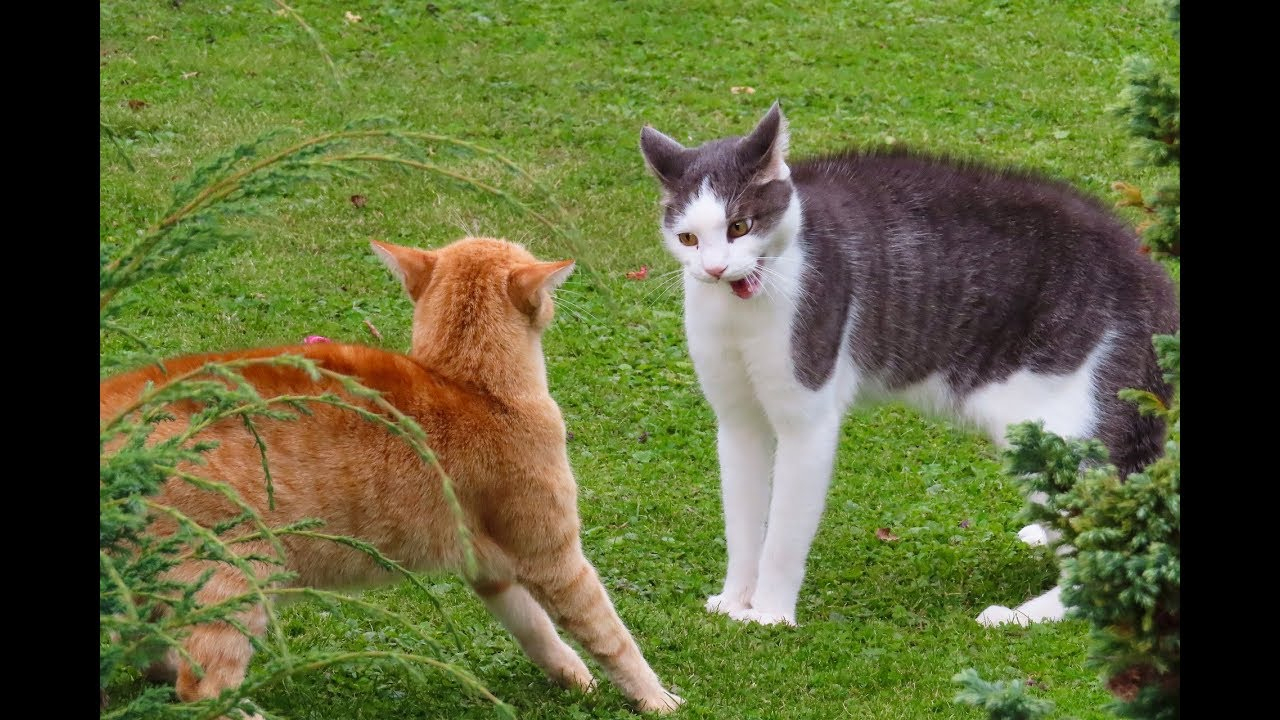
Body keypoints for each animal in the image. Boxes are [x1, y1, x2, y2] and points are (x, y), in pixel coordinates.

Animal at [101, 235, 686, 712]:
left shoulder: (490, 565)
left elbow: (534, 628)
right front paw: (655, 698)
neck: (470, 383)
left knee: (149, 655)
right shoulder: (554, 558)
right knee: (200, 690)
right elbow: (612, 635)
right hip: (236, 576)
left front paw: (571, 675)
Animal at [640, 103, 1177, 625]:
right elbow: (743, 521)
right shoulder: (737, 421)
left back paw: (1023, 614)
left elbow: (785, 531)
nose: (714, 268)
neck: (742, 310)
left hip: (1055, 424)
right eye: (688, 238)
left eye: (739, 227)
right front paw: (735, 600)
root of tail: (1150, 272)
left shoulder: (806, 419)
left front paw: (769, 613)